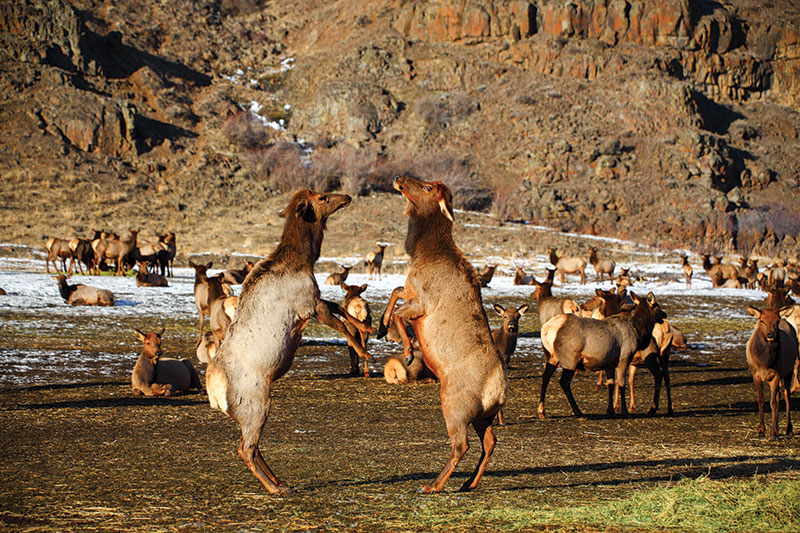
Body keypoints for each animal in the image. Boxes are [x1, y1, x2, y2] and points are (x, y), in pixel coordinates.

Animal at [206, 189, 374, 494]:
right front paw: (364, 351)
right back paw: (274, 488)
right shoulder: (307, 304)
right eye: (322, 197)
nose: (346, 196)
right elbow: (341, 324)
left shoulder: (314, 300)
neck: (305, 259)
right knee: (246, 448)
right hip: (256, 403)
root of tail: (213, 392)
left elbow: (342, 311)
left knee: (250, 446)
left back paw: (279, 480)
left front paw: (366, 327)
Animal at [376, 176, 506, 493]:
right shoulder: (411, 291)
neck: (422, 251)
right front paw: (381, 328)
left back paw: (432, 485)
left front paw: (407, 351)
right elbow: (395, 290)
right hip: (483, 416)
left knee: (462, 445)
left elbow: (399, 309)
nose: (398, 178)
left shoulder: (422, 303)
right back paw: (468, 484)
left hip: (454, 405)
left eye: (426, 188)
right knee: (491, 442)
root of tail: (498, 390)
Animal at [745, 306, 798, 438]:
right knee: (779, 395)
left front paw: (774, 432)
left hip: (788, 371)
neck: (765, 362)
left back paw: (788, 428)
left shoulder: (776, 375)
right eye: (762, 320)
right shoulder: (755, 375)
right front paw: (761, 430)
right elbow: (761, 401)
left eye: (776, 321)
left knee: (787, 396)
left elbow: (772, 402)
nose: (770, 334)